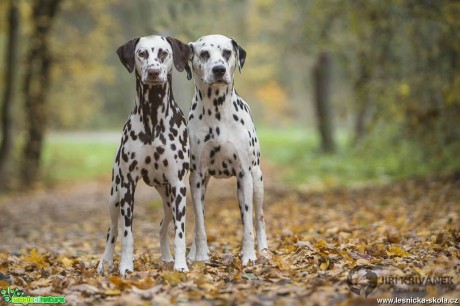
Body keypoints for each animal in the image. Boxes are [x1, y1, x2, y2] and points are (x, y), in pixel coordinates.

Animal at [96, 35, 191, 274]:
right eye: (141, 53)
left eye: (164, 53)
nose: (154, 72)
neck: (153, 118)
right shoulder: (128, 185)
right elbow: (127, 235)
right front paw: (125, 266)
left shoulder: (178, 185)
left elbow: (179, 233)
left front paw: (181, 265)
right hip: (115, 197)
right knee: (112, 231)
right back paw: (105, 262)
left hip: (169, 200)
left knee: (163, 226)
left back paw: (167, 257)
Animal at [186, 34, 268, 266]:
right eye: (204, 53)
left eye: (227, 52)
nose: (219, 69)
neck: (217, 112)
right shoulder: (196, 177)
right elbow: (200, 225)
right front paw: (201, 256)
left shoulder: (244, 175)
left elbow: (248, 224)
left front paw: (248, 256)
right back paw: (193, 253)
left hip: (257, 181)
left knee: (258, 217)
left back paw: (263, 248)